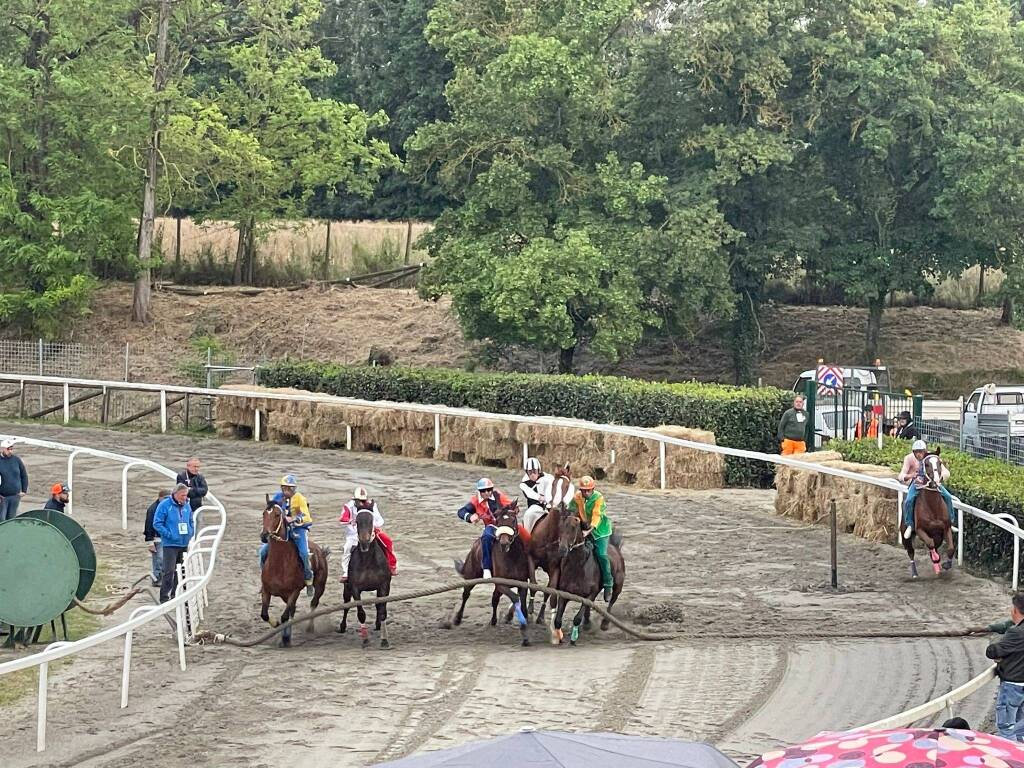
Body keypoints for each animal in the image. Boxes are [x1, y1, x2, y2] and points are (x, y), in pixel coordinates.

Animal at [260, 495, 327, 647]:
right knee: (293, 610)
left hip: (320, 585)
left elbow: (285, 616)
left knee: (313, 603)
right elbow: (264, 615)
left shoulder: (294, 591)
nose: (264, 535)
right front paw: (277, 626)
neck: (279, 564)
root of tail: (320, 551)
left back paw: (309, 628)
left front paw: (285, 637)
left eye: (277, 514)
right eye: (264, 514)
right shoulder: (266, 590)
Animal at [339, 512, 395, 651]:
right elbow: (361, 613)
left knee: (378, 605)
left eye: (371, 521)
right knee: (346, 605)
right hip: (347, 589)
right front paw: (365, 640)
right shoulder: (354, 588)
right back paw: (342, 626)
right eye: (357, 522)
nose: (364, 541)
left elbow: (382, 611)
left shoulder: (384, 585)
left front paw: (384, 640)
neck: (368, 561)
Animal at [552, 507, 622, 647]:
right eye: (560, 526)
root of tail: (615, 547)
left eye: (573, 527)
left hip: (618, 585)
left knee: (612, 601)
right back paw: (587, 623)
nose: (562, 550)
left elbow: (577, 617)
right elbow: (558, 620)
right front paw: (560, 638)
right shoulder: (564, 593)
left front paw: (573, 639)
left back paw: (604, 623)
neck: (578, 567)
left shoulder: (589, 595)